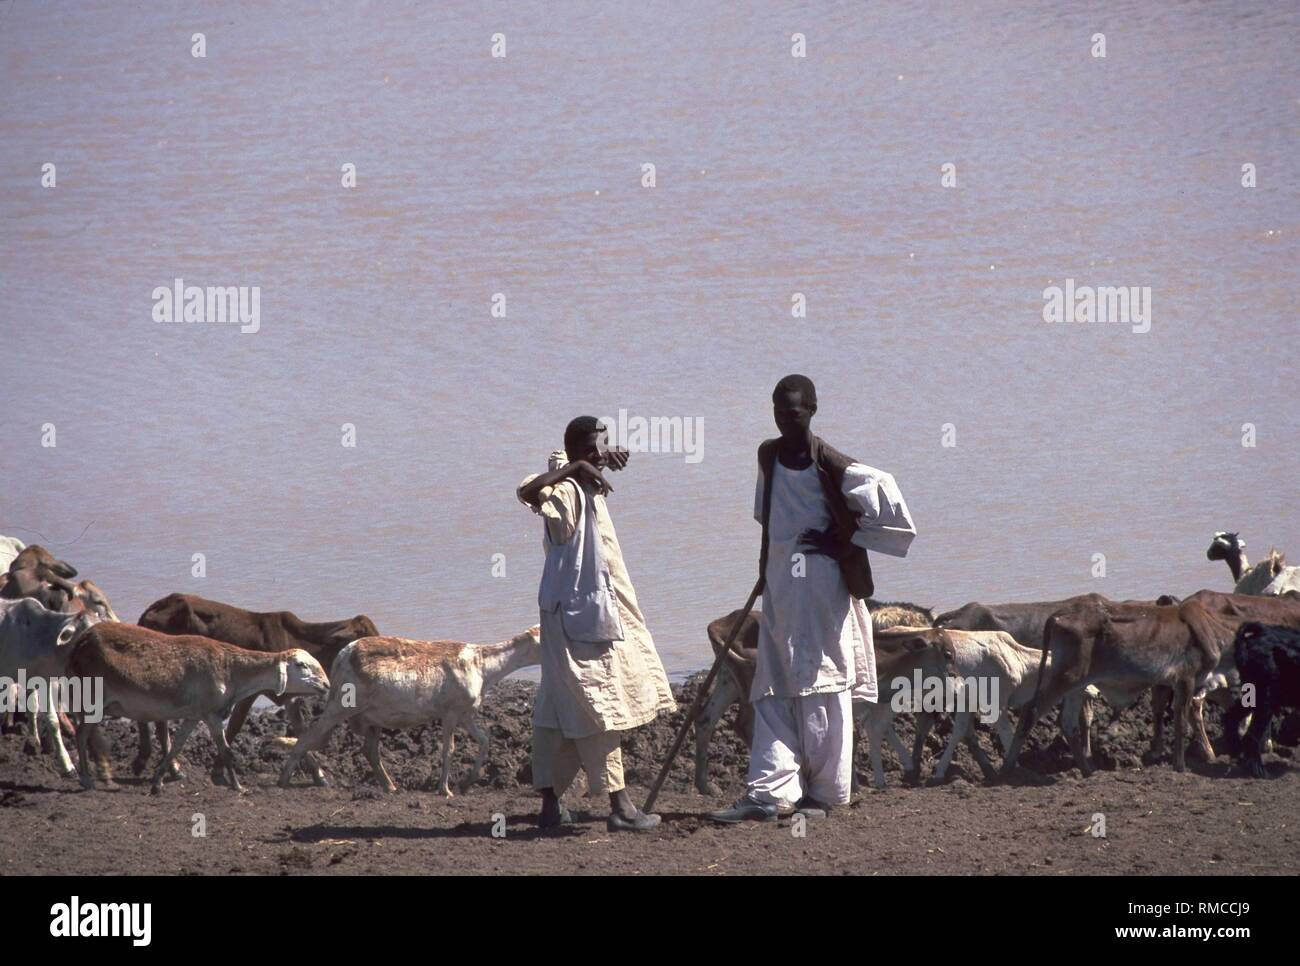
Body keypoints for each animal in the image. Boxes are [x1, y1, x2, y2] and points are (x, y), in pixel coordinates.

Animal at [65, 624, 330, 795]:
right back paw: (86, 779)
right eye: (301, 665)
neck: (232, 670)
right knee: (81, 733)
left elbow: (176, 746)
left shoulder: (193, 716)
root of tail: (81, 641)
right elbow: (226, 751)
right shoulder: (211, 715)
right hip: (94, 698)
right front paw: (238, 786)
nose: (327, 684)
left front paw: (157, 783)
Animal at [276, 626, 540, 795]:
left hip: (370, 717)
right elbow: (449, 750)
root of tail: (341, 656)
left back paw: (390, 786)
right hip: (341, 705)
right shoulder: (450, 713)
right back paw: (284, 779)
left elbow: (485, 740)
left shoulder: (465, 714)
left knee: (369, 751)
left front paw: (467, 783)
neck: (482, 666)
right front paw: (445, 789)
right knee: (307, 737)